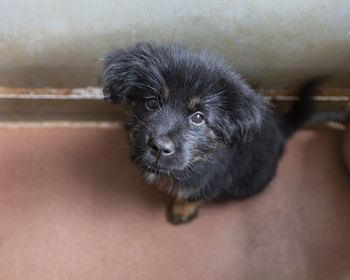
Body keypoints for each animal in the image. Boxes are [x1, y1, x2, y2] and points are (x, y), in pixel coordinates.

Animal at [100, 42, 320, 224]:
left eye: (198, 117)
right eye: (152, 103)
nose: (160, 148)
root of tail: (281, 126)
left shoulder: (209, 179)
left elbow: (191, 195)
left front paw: (181, 212)